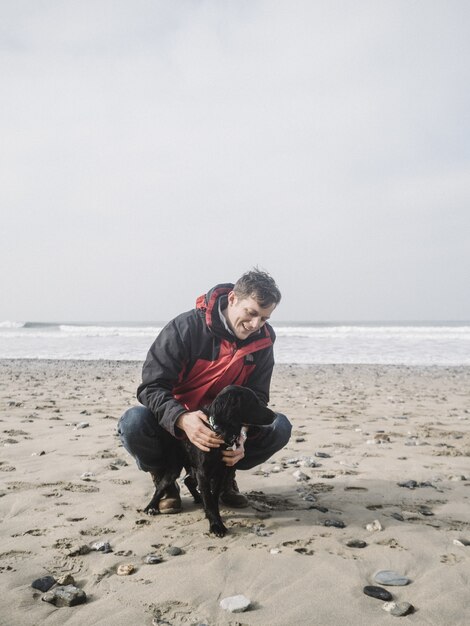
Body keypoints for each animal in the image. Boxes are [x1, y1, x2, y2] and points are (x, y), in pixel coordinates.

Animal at [143, 382, 276, 532]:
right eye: (253, 402)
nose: (275, 416)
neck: (221, 431)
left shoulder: (220, 472)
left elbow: (213, 497)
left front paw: (213, 516)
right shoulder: (203, 473)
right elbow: (209, 499)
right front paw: (216, 525)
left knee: (188, 482)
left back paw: (198, 499)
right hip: (175, 467)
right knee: (161, 485)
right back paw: (151, 507)